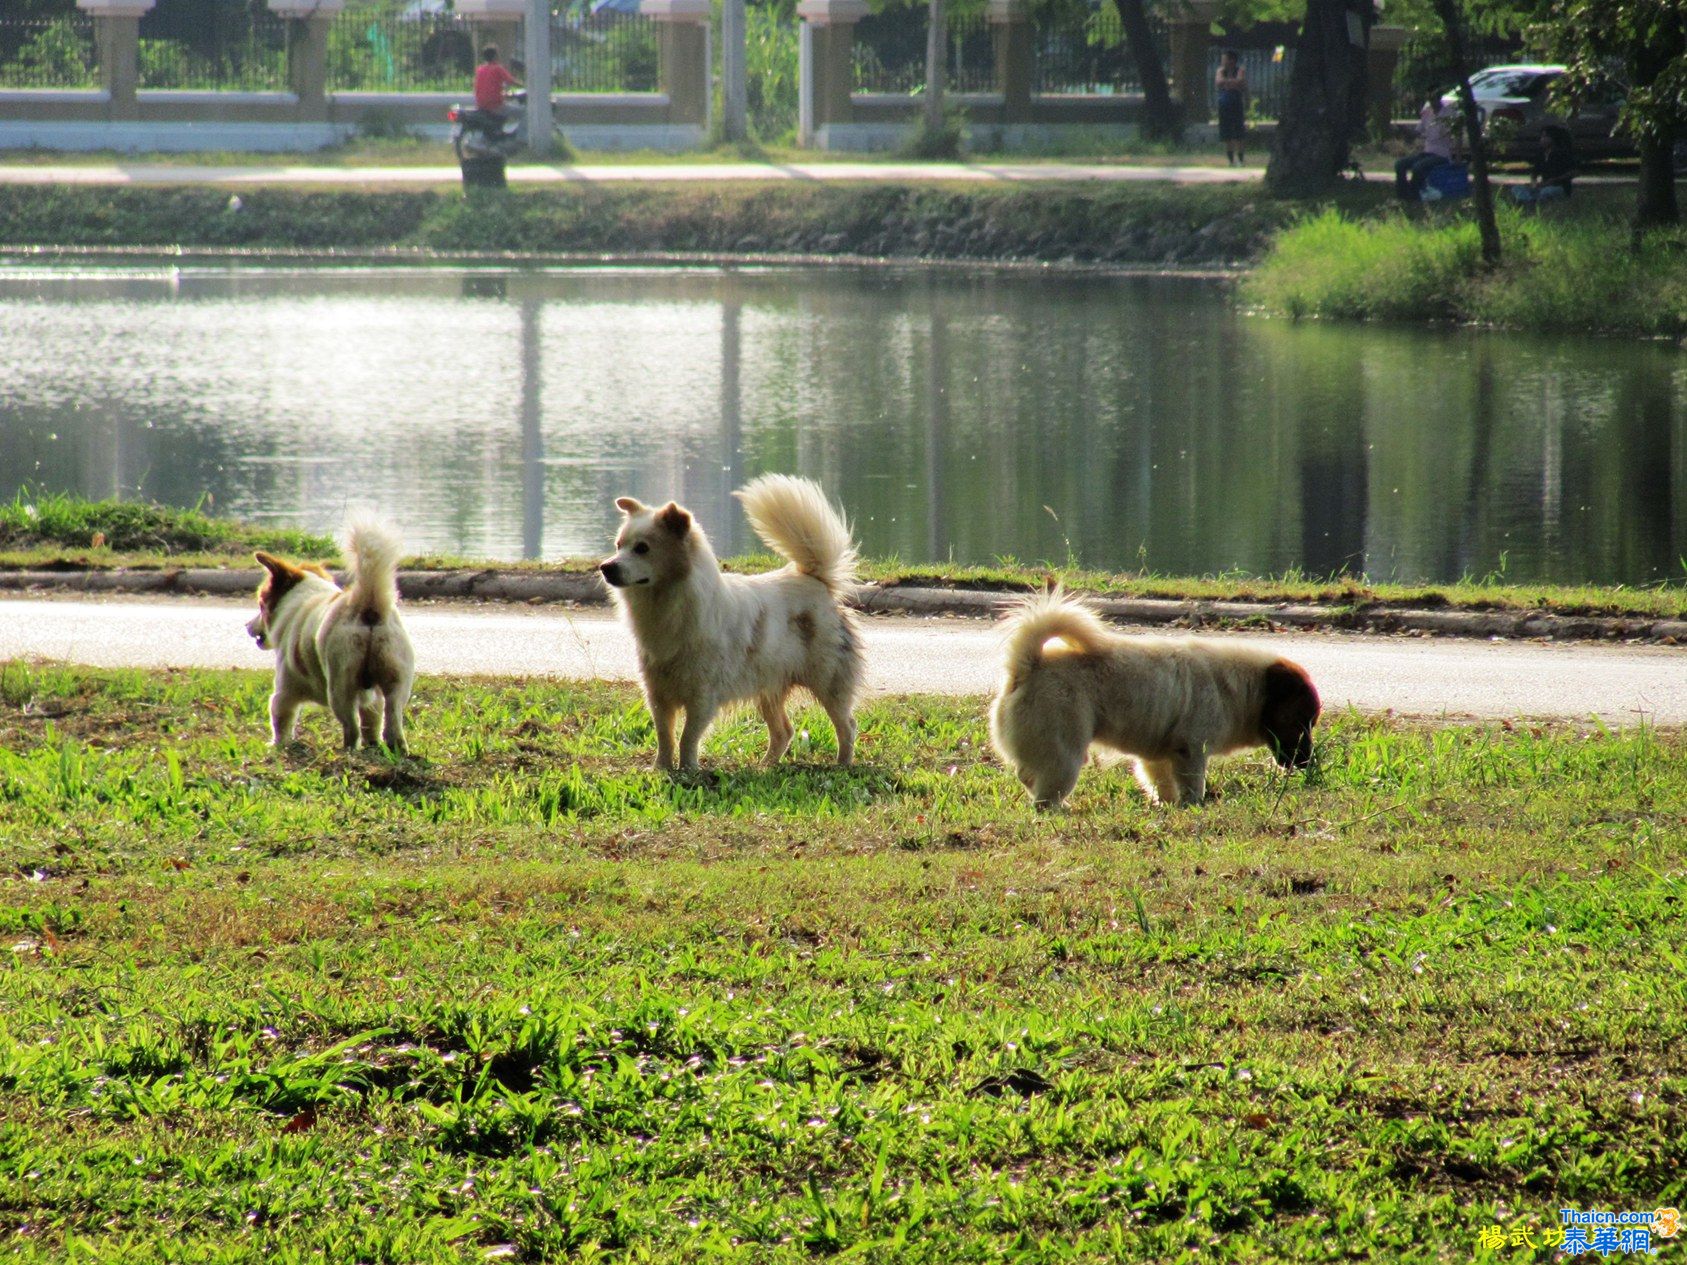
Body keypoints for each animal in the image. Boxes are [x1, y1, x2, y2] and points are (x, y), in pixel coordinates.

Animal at [244, 516, 415, 752]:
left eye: (260, 605)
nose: (247, 625)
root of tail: (367, 606)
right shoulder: (373, 699)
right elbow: (371, 720)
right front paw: (372, 743)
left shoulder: (284, 691)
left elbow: (281, 719)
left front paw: (277, 745)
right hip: (396, 681)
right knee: (392, 718)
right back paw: (395, 747)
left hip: (340, 688)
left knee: (351, 728)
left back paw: (348, 750)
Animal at [600, 475, 863, 772]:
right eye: (618, 546)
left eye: (642, 548)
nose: (605, 567)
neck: (668, 603)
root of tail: (816, 580)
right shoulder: (658, 694)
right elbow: (665, 736)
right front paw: (662, 769)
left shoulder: (703, 697)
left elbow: (688, 737)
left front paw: (688, 769)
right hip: (769, 686)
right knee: (783, 731)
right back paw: (765, 766)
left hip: (829, 682)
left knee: (846, 725)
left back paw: (843, 764)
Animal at [985, 590, 1315, 806]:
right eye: (1301, 721)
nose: (1307, 762)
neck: (1243, 687)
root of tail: (1027, 666)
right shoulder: (1191, 750)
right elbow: (1193, 784)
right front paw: (1194, 806)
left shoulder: (1159, 756)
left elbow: (1162, 784)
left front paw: (1170, 806)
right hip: (1065, 755)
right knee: (1045, 796)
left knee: (1027, 777)